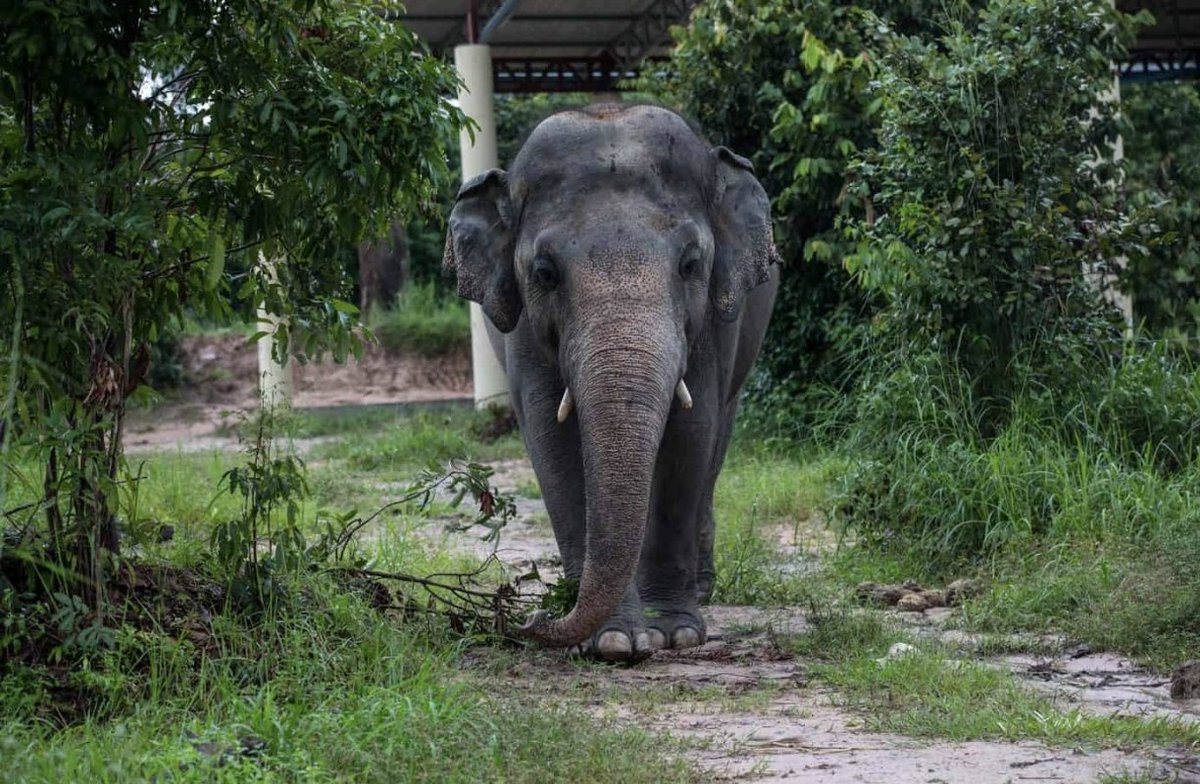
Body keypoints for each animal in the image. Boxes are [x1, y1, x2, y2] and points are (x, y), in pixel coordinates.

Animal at [443, 103, 779, 661]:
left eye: (691, 264)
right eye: (544, 272)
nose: (532, 616)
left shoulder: (714, 325)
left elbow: (690, 436)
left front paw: (674, 634)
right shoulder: (523, 333)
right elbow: (552, 440)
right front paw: (613, 641)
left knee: (718, 439)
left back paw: (703, 589)